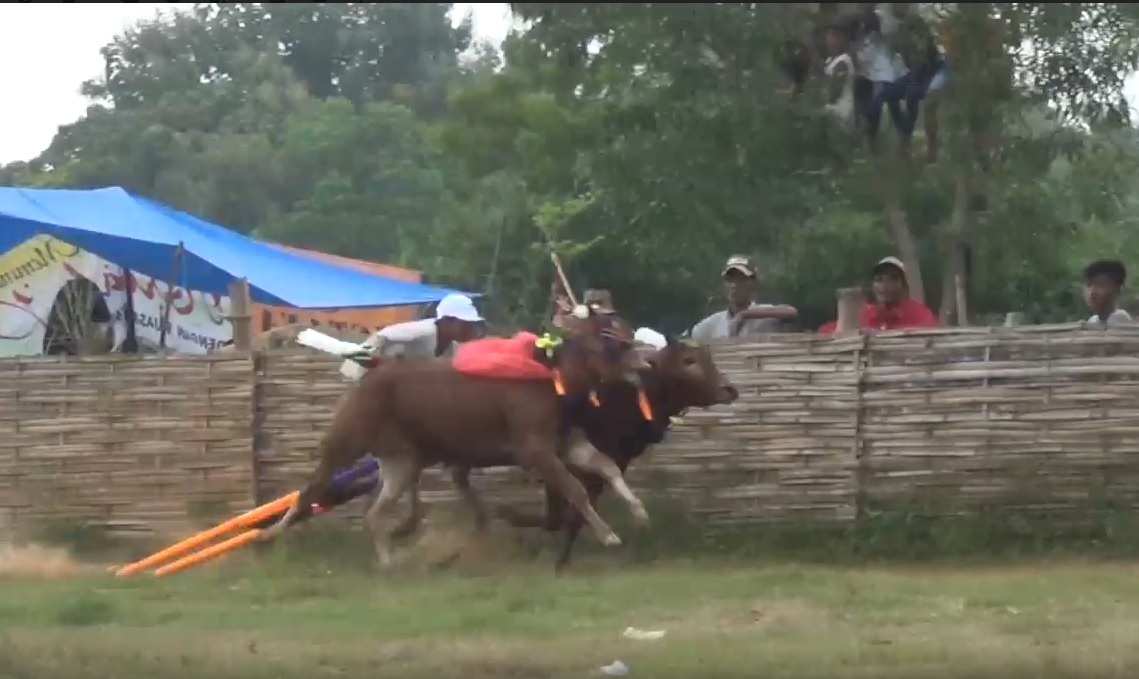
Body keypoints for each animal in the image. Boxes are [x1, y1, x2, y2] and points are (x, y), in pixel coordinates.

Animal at [260, 312, 646, 567]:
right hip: (346, 441)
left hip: (402, 460)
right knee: (311, 488)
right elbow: (576, 489)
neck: (552, 377)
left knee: (374, 511)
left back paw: (390, 559)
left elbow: (608, 466)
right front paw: (609, 535)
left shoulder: (567, 442)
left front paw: (639, 511)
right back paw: (271, 535)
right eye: (609, 334)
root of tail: (375, 371)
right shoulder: (535, 449)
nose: (645, 364)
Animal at [489, 339, 738, 567]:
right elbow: (562, 514)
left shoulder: (610, 461)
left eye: (708, 357)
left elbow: (570, 515)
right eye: (688, 360)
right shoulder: (559, 460)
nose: (730, 390)